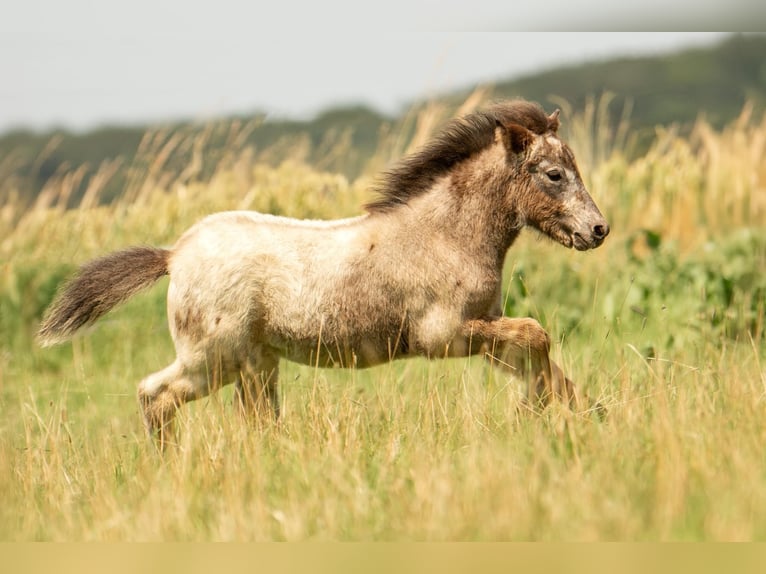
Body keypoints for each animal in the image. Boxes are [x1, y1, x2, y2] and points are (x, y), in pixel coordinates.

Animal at [37, 102, 612, 446]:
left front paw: (590, 414)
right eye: (554, 174)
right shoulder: (444, 334)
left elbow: (536, 352)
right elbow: (537, 334)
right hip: (213, 360)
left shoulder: (485, 328)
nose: (599, 229)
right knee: (154, 393)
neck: (445, 235)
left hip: (255, 366)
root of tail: (173, 255)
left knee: (249, 419)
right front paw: (537, 414)